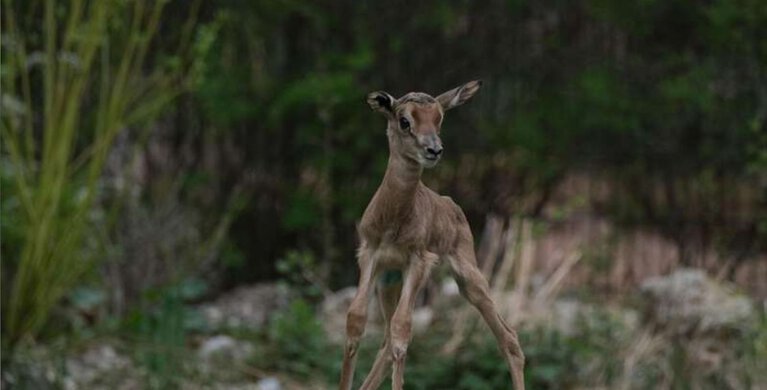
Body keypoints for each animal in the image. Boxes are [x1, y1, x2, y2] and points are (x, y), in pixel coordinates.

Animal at [340, 80, 524, 390]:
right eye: (404, 120)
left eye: (439, 118)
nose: (434, 149)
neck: (394, 218)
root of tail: (452, 205)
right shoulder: (370, 255)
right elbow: (356, 321)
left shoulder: (419, 261)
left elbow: (403, 331)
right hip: (389, 281)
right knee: (385, 340)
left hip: (469, 279)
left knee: (509, 338)